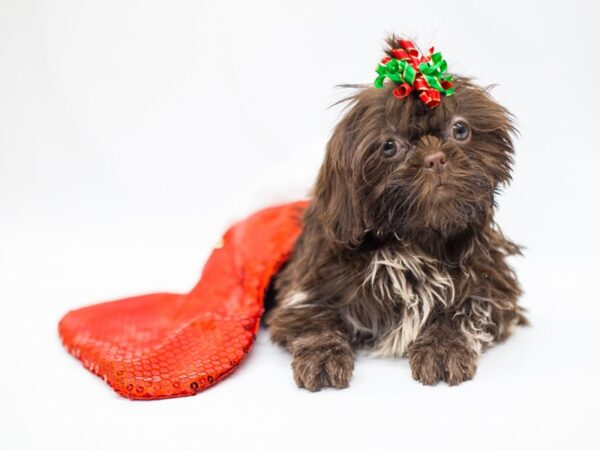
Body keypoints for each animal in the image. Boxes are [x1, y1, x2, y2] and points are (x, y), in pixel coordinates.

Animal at [266, 36, 524, 390]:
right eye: (389, 146)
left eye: (460, 130)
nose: (435, 158)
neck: (412, 243)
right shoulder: (306, 287)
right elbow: (316, 319)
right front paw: (322, 355)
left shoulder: (494, 286)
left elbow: (466, 308)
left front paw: (442, 346)